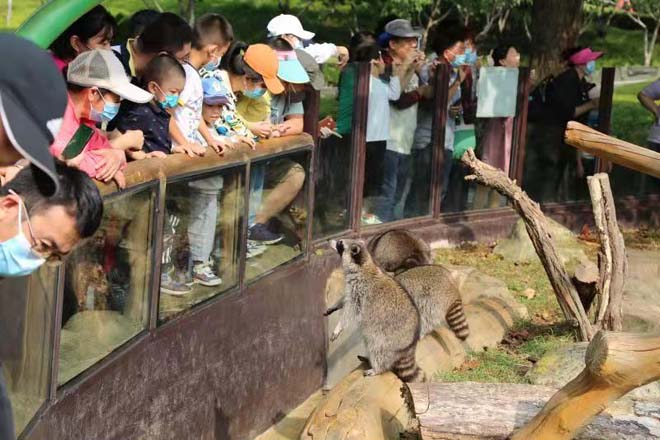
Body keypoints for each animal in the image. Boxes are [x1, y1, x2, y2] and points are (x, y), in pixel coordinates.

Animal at [326, 241, 428, 382]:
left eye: (340, 244)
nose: (330, 241)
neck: (363, 265)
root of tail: (410, 345)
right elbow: (344, 300)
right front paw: (335, 306)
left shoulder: (359, 292)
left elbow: (349, 310)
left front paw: (339, 327)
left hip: (387, 338)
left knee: (376, 348)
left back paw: (378, 368)